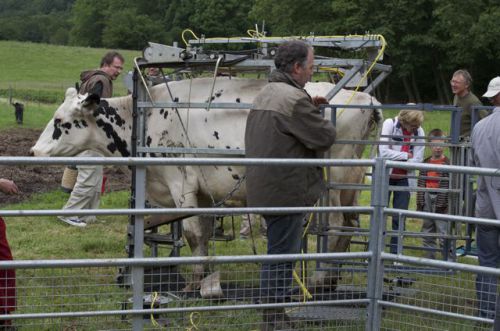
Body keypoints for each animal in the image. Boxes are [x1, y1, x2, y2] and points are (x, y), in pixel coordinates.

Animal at [32, 77, 382, 290]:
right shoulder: (202, 192)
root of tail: (366, 97)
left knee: (336, 224)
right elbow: (201, 233)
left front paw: (194, 282)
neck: (145, 114)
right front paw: (205, 278)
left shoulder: (180, 183)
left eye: (62, 122)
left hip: (331, 184)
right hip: (349, 185)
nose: (34, 151)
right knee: (350, 224)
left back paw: (321, 277)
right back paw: (332, 277)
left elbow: (191, 233)